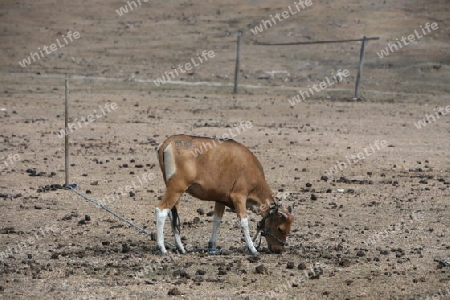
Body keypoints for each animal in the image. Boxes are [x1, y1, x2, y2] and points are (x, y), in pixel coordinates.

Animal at [156, 135, 294, 254]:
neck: (250, 167)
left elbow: (217, 220)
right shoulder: (239, 197)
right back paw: (162, 248)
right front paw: (253, 249)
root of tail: (169, 141)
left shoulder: (220, 199)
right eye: (280, 229)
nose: (279, 250)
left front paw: (212, 246)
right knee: (161, 210)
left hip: (175, 191)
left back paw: (180, 247)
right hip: (176, 189)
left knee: (173, 215)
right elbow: (244, 222)